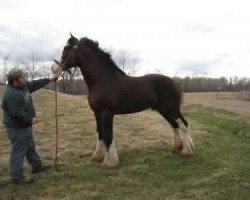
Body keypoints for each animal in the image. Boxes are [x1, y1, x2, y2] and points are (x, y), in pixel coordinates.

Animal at [53, 33, 194, 168]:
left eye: (68, 49)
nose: (54, 69)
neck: (103, 80)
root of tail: (174, 82)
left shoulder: (107, 114)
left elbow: (108, 136)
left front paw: (110, 162)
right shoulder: (97, 113)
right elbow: (100, 134)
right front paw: (98, 156)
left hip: (172, 109)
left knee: (183, 124)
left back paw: (186, 151)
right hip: (163, 110)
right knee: (175, 125)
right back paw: (176, 148)